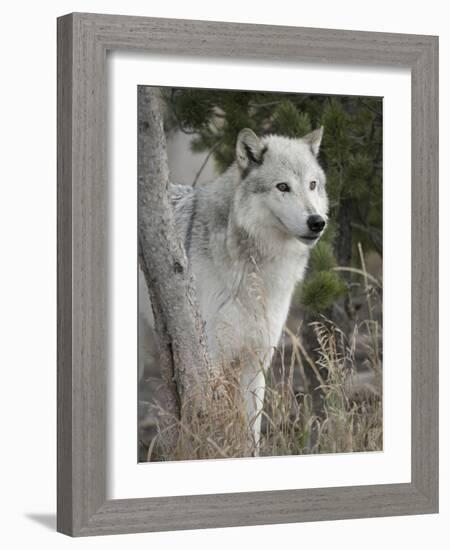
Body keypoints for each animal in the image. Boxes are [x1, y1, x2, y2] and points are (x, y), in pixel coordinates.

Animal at [140, 127, 326, 450]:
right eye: (283, 187)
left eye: (312, 185)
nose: (317, 222)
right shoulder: (212, 357)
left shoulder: (257, 359)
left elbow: (252, 433)